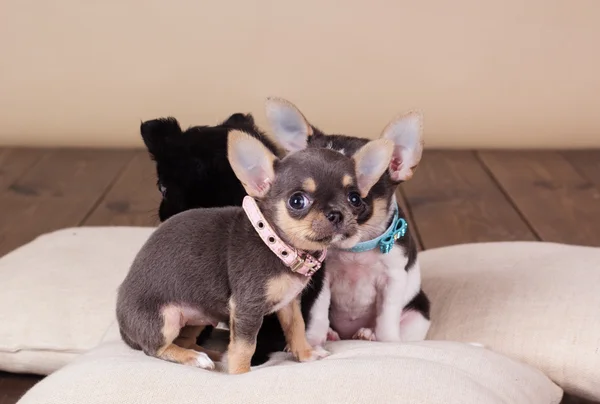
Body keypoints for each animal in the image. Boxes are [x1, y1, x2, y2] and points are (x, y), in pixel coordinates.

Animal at [116, 131, 394, 374]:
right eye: (297, 201)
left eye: (355, 198)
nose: (336, 214)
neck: (277, 245)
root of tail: (122, 324)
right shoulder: (247, 308)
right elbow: (245, 346)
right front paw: (240, 374)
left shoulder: (289, 304)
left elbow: (296, 329)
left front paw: (306, 355)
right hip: (167, 318)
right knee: (155, 348)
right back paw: (195, 358)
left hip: (200, 315)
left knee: (185, 340)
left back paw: (213, 355)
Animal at [264, 98, 428, 348]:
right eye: (302, 199)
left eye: (356, 199)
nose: (330, 216)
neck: (355, 251)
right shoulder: (323, 280)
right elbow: (319, 313)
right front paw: (313, 341)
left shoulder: (393, 279)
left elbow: (387, 316)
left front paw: (388, 341)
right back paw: (333, 334)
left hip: (419, 315)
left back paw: (368, 334)